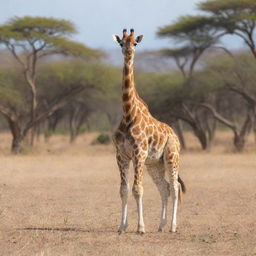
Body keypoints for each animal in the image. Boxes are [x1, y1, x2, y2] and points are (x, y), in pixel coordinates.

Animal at [113, 28, 185, 234]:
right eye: (121, 43)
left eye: (135, 43)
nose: (128, 53)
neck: (128, 114)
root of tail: (175, 135)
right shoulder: (121, 155)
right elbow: (124, 190)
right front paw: (122, 227)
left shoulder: (139, 153)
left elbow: (137, 189)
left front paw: (140, 228)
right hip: (154, 164)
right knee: (165, 188)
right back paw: (161, 226)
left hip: (171, 157)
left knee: (175, 187)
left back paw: (173, 227)